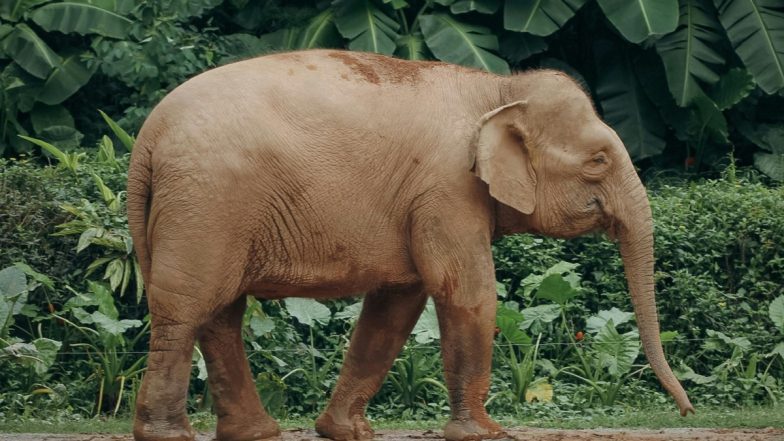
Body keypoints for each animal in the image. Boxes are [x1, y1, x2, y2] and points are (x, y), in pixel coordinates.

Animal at [127, 49, 693, 441]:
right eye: (598, 161)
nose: (687, 410)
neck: (498, 89)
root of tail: (147, 137)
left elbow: (397, 306)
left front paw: (347, 434)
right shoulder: (448, 188)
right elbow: (465, 291)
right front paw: (487, 435)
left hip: (208, 209)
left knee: (220, 312)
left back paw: (255, 434)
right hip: (207, 202)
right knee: (189, 306)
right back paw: (168, 435)